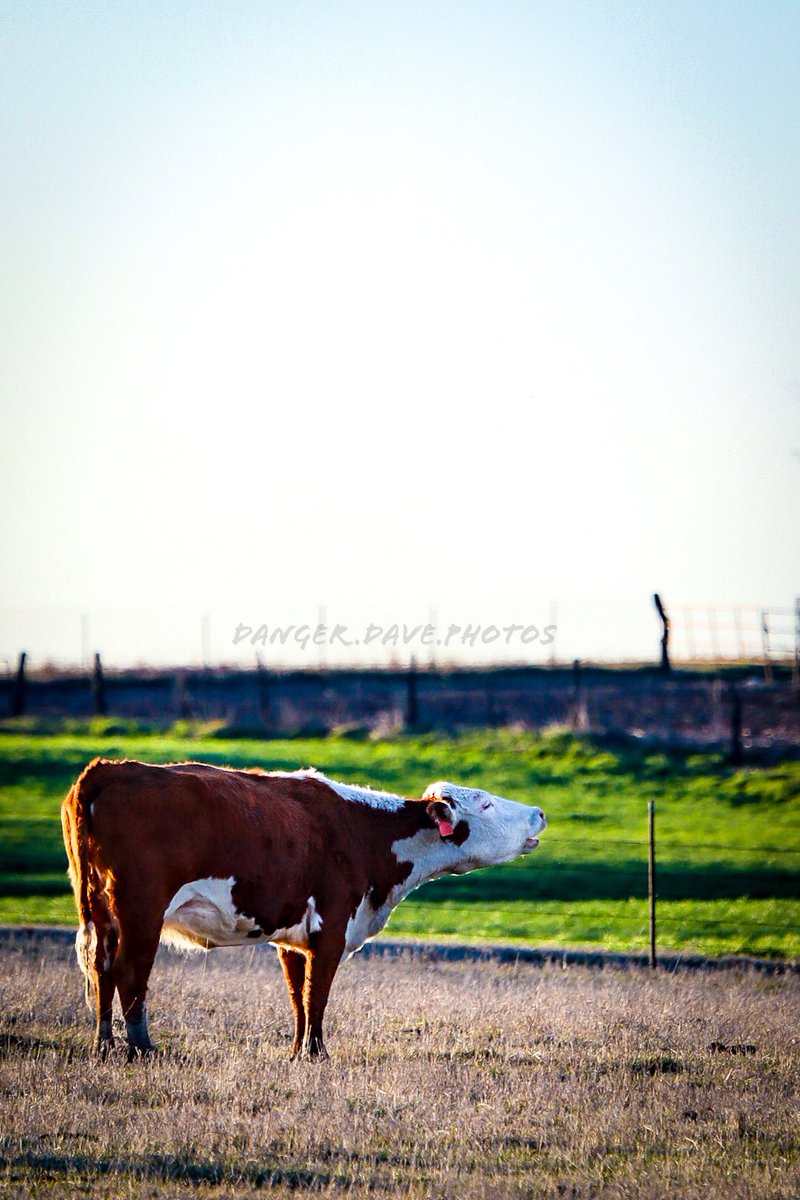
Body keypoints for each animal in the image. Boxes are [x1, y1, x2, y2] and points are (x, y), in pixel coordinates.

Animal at [61, 758, 546, 1060]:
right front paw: (317, 1053)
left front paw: (297, 1051)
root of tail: (106, 770)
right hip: (141, 908)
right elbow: (318, 995)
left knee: (102, 969)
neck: (364, 831)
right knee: (130, 972)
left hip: (102, 912)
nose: (539, 812)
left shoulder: (293, 939)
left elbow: (298, 996)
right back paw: (141, 1048)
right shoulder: (331, 929)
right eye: (486, 802)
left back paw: (104, 1045)